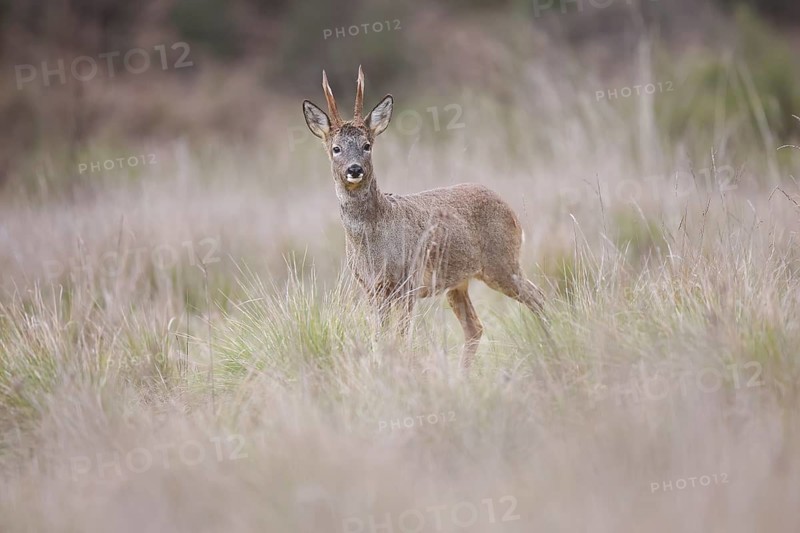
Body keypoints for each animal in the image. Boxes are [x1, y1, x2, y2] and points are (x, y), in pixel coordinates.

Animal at [302, 66, 550, 369]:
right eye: (336, 148)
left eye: (367, 145)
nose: (354, 169)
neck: (373, 241)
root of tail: (511, 210)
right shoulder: (371, 289)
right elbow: (378, 339)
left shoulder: (407, 281)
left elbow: (401, 339)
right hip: (458, 283)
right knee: (475, 327)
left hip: (502, 262)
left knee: (538, 298)